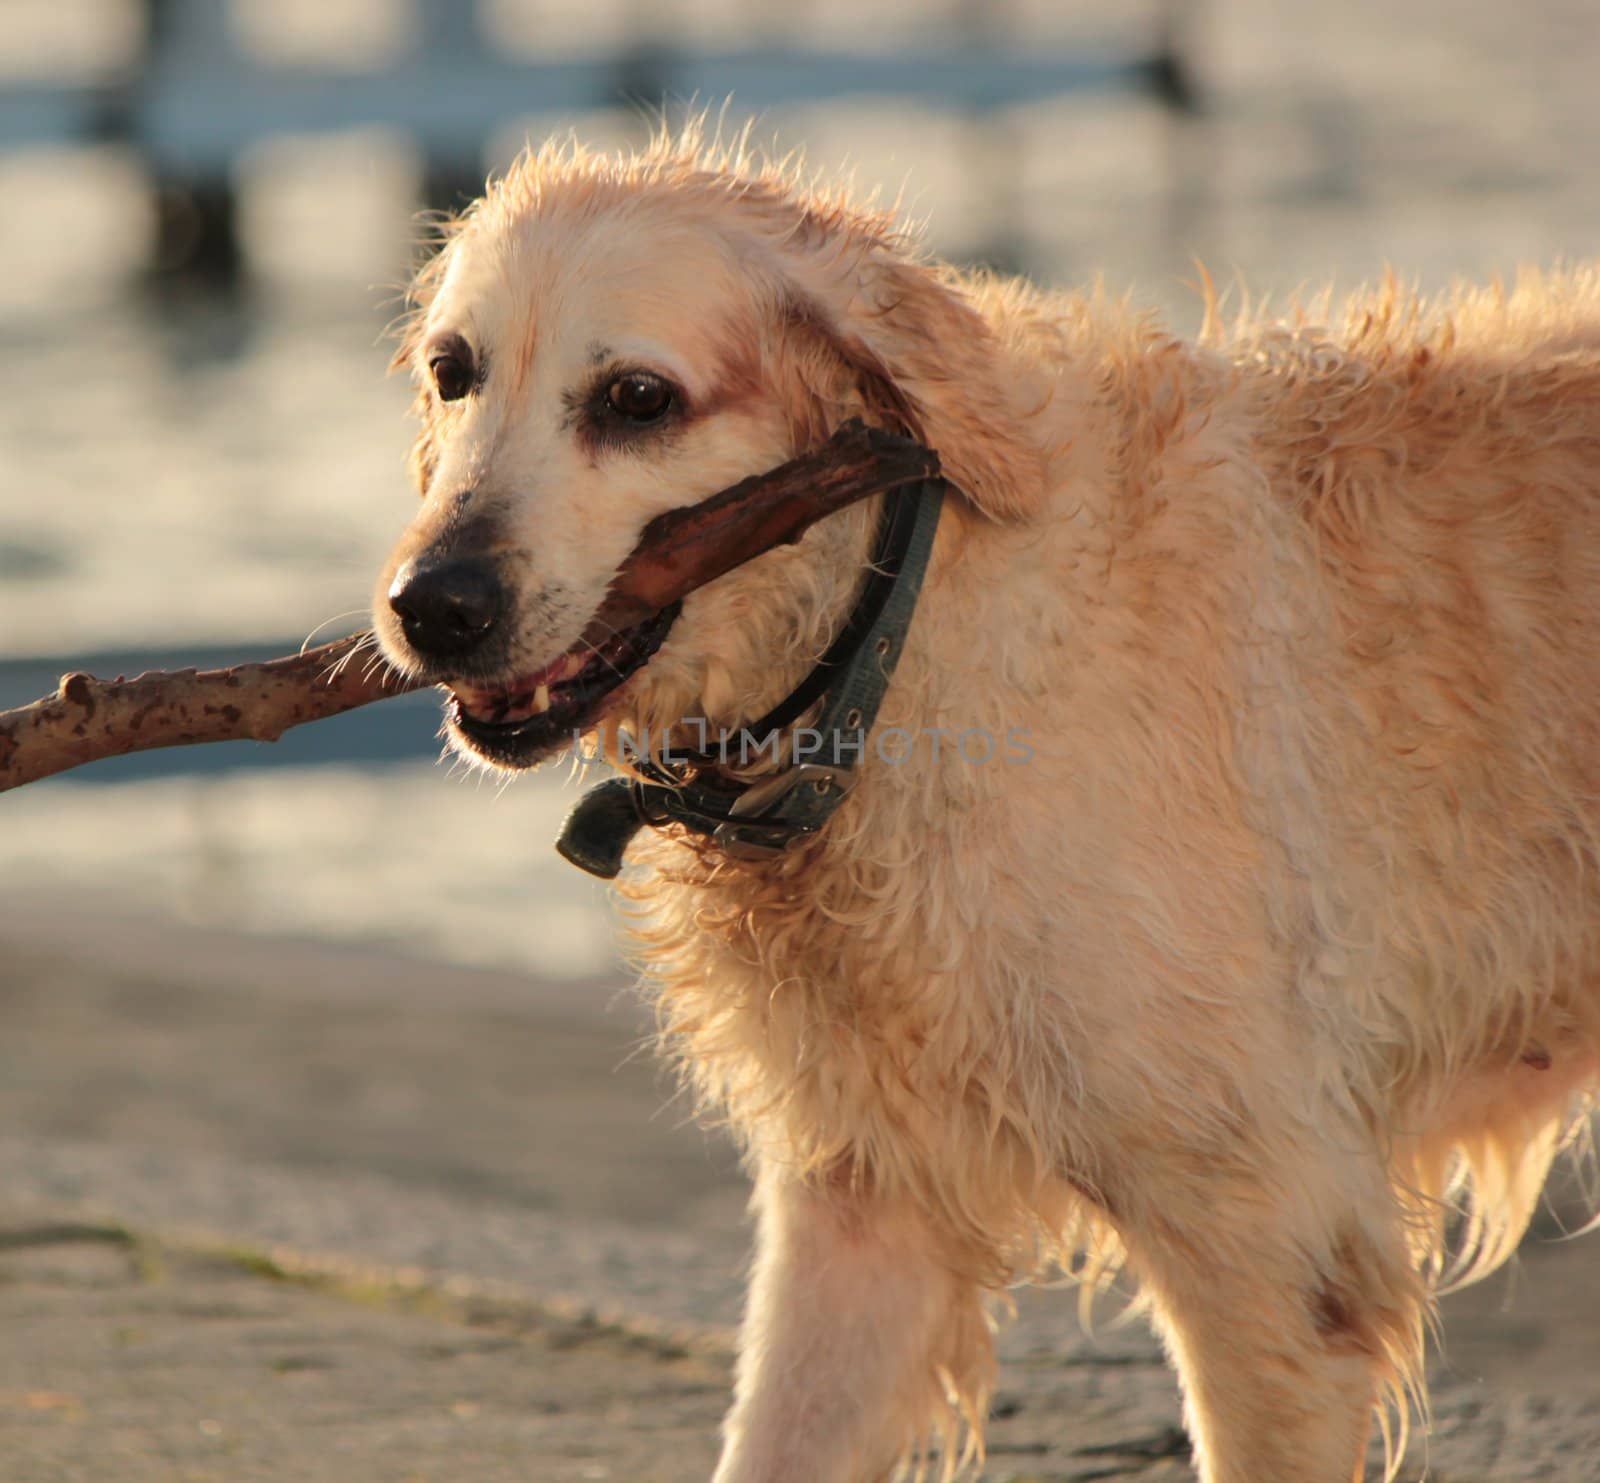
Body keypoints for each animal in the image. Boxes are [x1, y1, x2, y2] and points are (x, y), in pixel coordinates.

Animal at [368, 130, 1600, 1483]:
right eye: (452, 371)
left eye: (637, 399)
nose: (432, 606)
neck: (898, 633)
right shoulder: (865, 1199)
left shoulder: (1268, 1244)